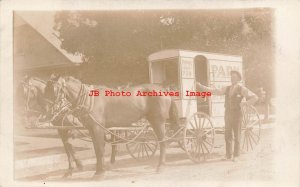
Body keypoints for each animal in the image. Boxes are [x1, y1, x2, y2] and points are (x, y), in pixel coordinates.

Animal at [45, 76, 179, 180]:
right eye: (46, 90)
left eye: (55, 90)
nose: (50, 113)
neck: (90, 99)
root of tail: (164, 89)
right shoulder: (91, 129)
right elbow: (97, 150)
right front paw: (98, 171)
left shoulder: (98, 129)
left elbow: (100, 150)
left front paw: (100, 173)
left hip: (158, 122)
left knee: (163, 143)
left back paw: (161, 166)